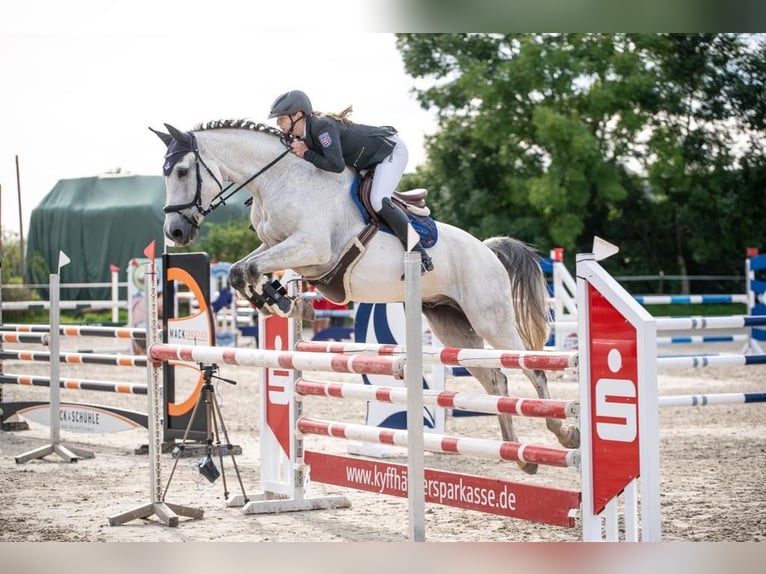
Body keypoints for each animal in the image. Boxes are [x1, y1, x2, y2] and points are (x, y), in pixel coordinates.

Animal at [151, 119, 579, 474]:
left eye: (183, 171)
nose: (174, 232)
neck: (277, 179)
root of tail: (488, 250)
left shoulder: (313, 248)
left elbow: (252, 269)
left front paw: (280, 301)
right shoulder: (282, 248)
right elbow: (243, 269)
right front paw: (279, 300)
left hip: (491, 318)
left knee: (533, 368)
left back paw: (564, 434)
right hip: (452, 326)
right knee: (497, 381)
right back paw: (520, 456)